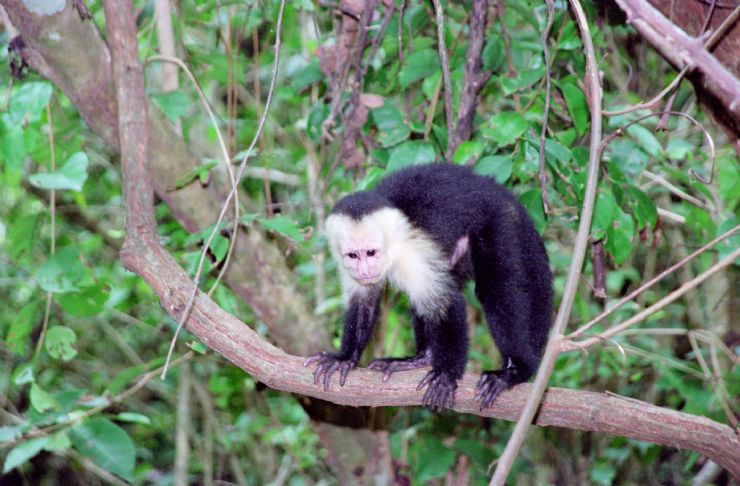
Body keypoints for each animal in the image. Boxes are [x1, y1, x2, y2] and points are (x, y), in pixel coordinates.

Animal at [304, 162, 552, 410]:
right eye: (353, 256)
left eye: (371, 252)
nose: (364, 271)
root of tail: (502, 193)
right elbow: (364, 303)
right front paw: (344, 358)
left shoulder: (411, 253)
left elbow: (447, 301)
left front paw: (446, 375)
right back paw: (422, 358)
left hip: (498, 224)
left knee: (493, 291)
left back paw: (515, 369)